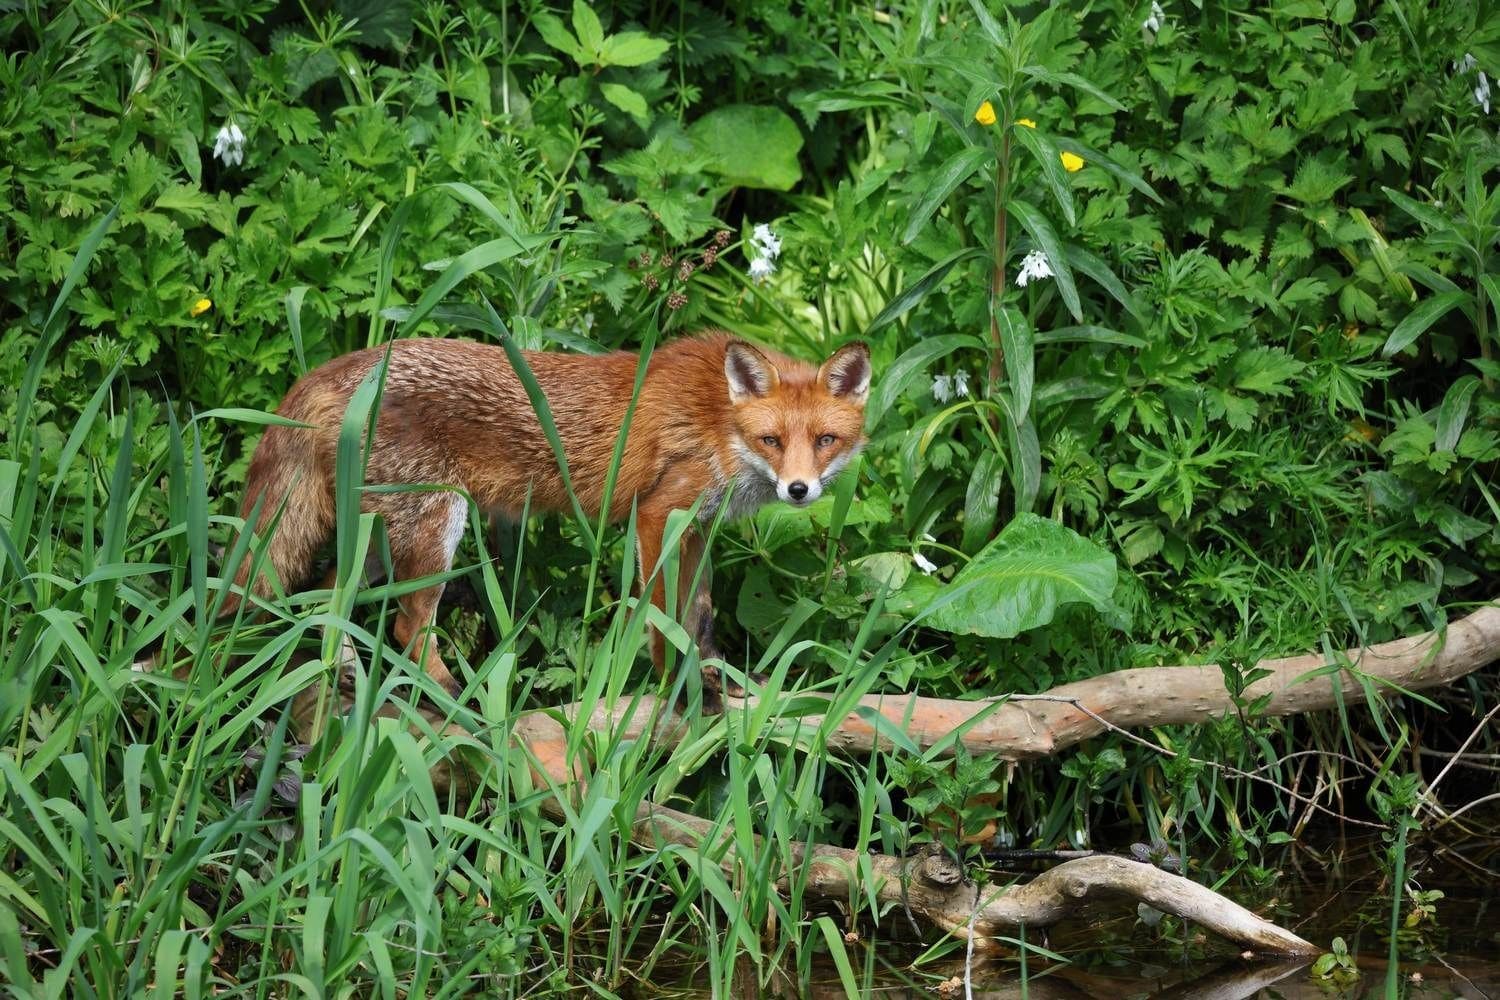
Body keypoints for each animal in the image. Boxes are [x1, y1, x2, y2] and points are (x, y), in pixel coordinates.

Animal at [223, 332, 876, 701]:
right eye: (772, 440)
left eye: (824, 440)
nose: (798, 490)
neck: (718, 418)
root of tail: (334, 371)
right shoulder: (658, 514)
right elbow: (663, 618)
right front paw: (676, 689)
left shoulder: (697, 528)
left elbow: (700, 616)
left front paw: (718, 677)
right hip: (437, 526)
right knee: (409, 628)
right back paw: (455, 698)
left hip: (382, 540)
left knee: (330, 597)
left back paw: (345, 676)